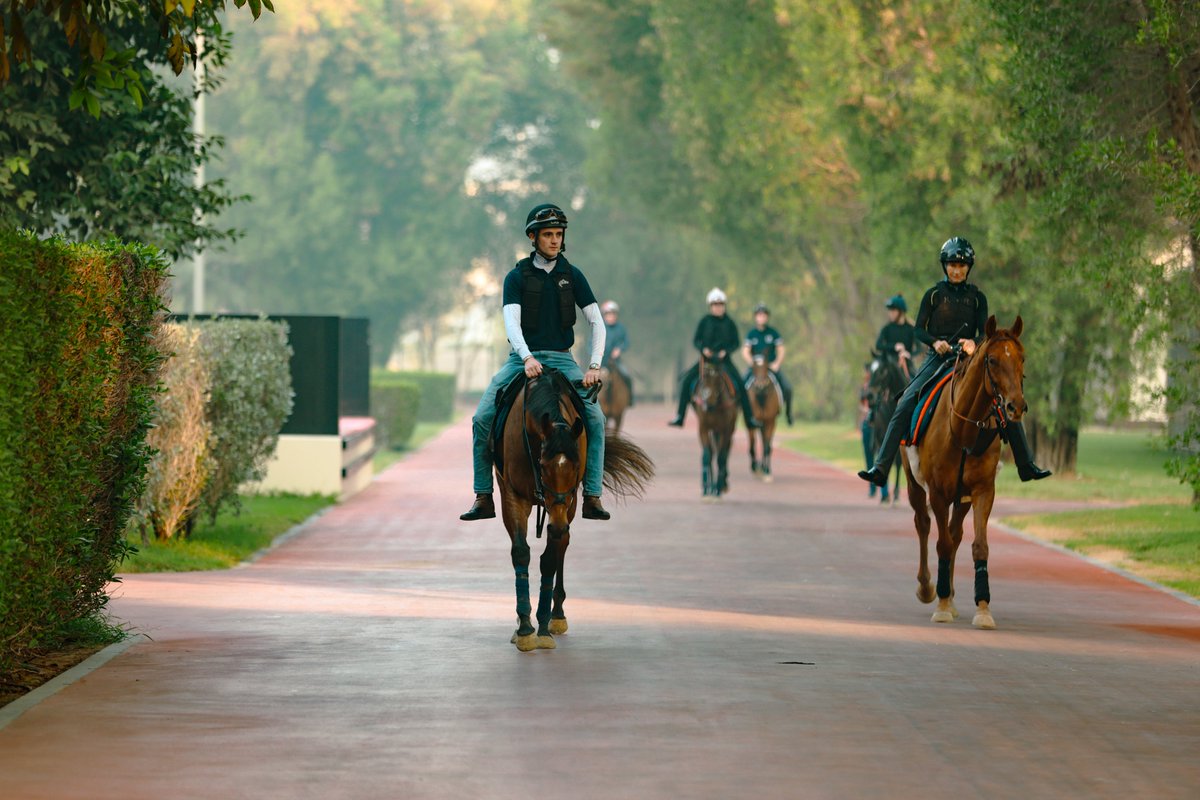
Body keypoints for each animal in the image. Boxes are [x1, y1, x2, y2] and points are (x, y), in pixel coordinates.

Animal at [494, 371, 652, 652]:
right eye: (542, 465)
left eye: (578, 465)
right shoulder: (512, 494)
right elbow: (521, 552)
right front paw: (525, 628)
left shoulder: (567, 501)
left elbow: (550, 556)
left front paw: (543, 626)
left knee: (563, 543)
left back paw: (557, 615)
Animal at [696, 357, 739, 501]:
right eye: (704, 375)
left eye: (718, 378)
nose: (707, 402)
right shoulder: (703, 428)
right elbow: (707, 455)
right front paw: (706, 488)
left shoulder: (725, 430)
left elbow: (721, 457)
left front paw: (717, 489)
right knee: (712, 452)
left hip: (728, 429)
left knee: (725, 453)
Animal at [902, 314, 1027, 633]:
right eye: (992, 360)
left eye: (1022, 358)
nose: (1016, 406)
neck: (963, 429)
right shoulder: (938, 492)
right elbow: (942, 543)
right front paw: (941, 605)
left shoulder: (982, 490)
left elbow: (978, 546)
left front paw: (982, 608)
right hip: (914, 484)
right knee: (923, 524)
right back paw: (928, 588)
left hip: (963, 498)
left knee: (956, 533)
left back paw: (952, 596)